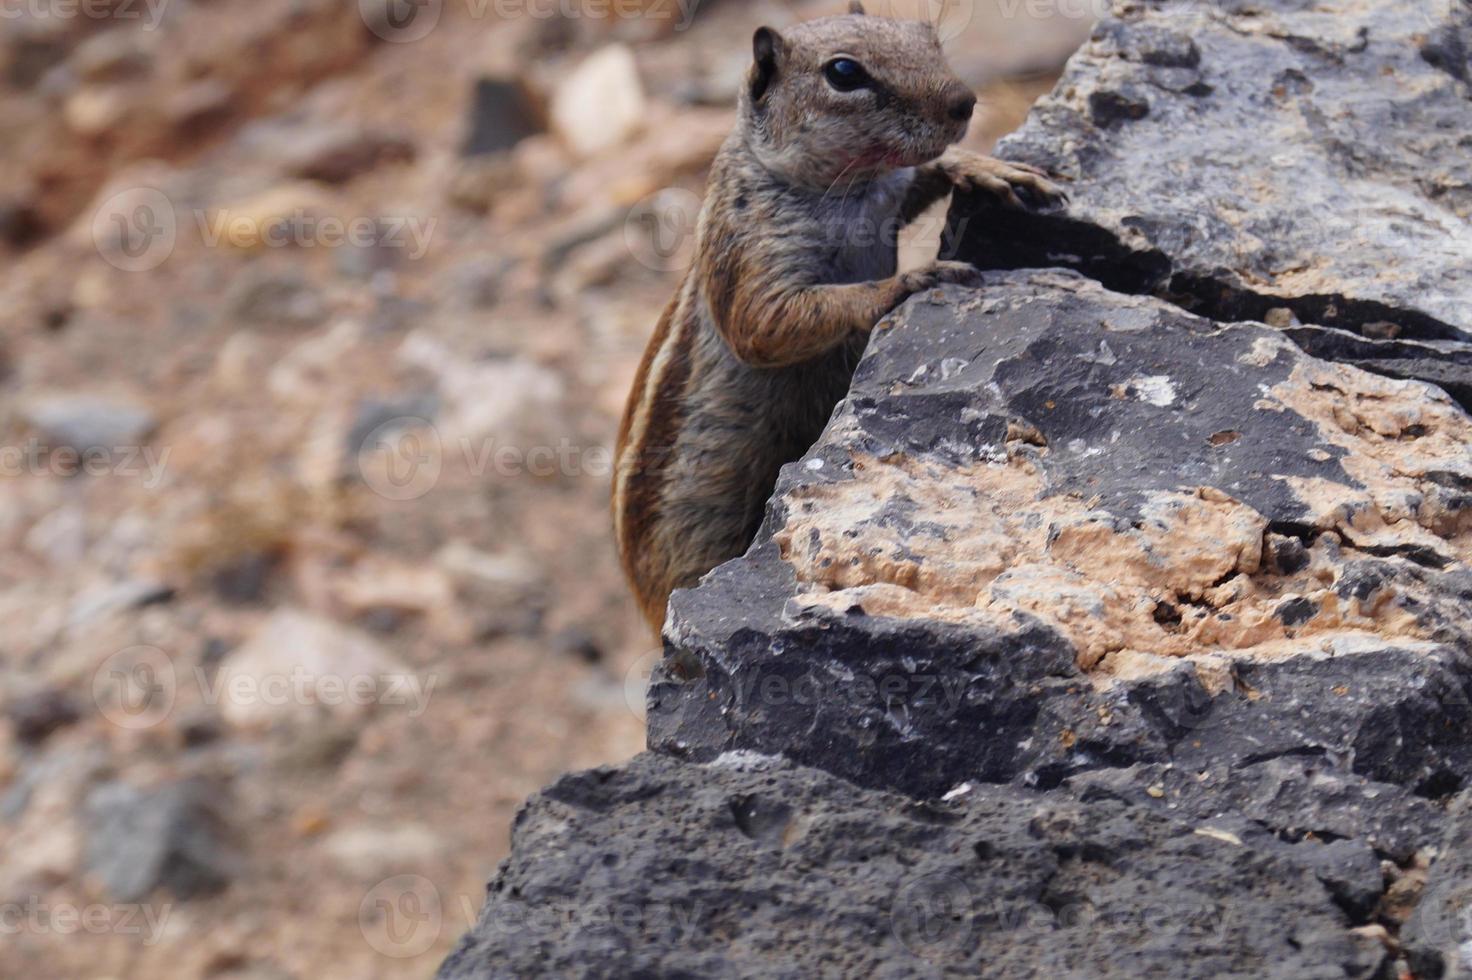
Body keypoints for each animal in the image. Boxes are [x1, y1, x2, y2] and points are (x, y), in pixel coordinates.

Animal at [609, 3, 1059, 629]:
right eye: (844, 73)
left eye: (926, 36)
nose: (963, 102)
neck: (848, 189)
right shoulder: (752, 252)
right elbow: (764, 324)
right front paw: (913, 278)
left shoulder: (891, 192)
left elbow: (923, 177)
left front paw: (985, 168)